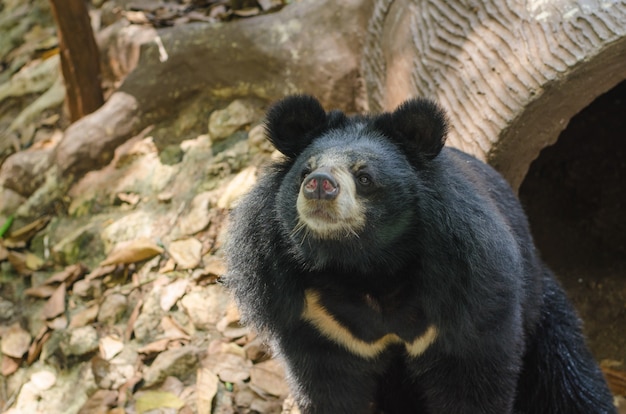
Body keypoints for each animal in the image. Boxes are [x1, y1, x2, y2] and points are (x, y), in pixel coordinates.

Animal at [222, 95, 612, 412]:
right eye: (306, 169)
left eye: (364, 177)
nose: (319, 185)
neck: (366, 265)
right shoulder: (316, 320)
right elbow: (329, 390)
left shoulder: (470, 295)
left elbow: (474, 386)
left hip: (543, 312)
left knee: (569, 380)